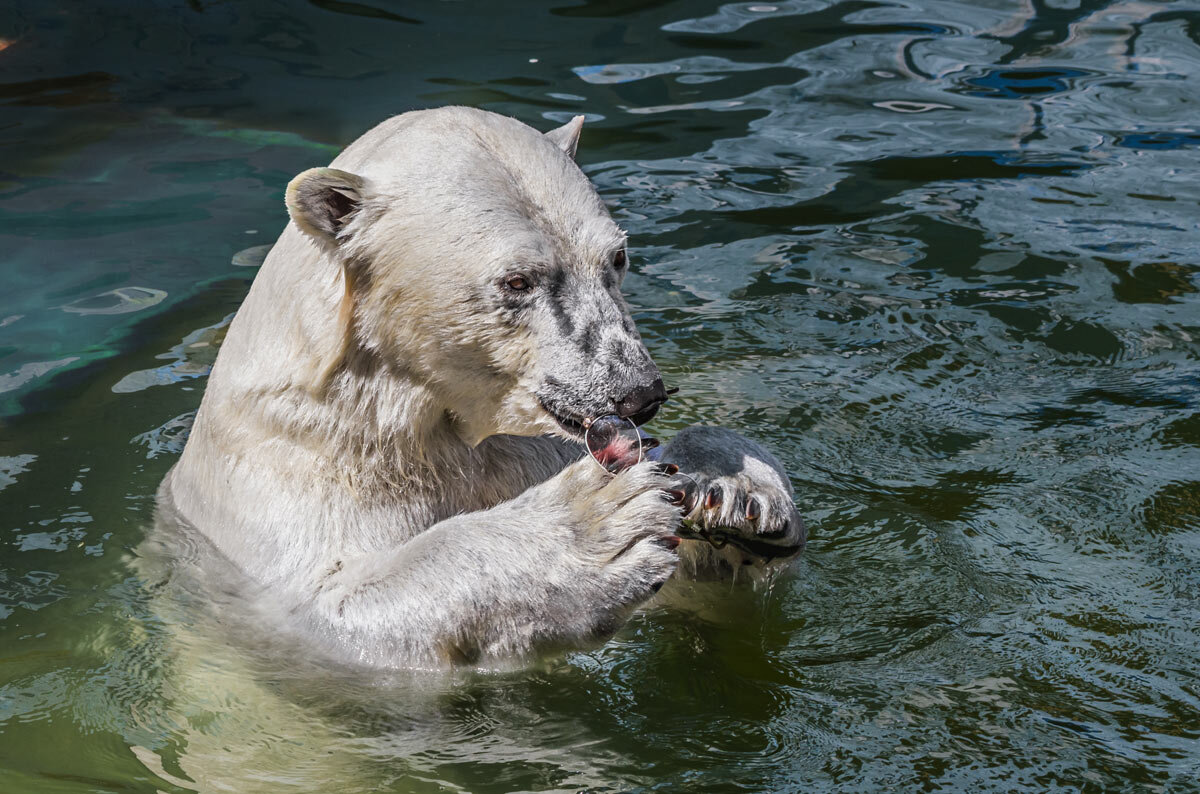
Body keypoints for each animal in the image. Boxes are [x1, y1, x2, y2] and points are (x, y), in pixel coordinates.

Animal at [157, 102, 796, 666]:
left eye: (616, 257)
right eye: (517, 281)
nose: (638, 391)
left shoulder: (531, 446)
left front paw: (731, 490)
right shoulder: (281, 486)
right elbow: (345, 604)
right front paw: (596, 523)